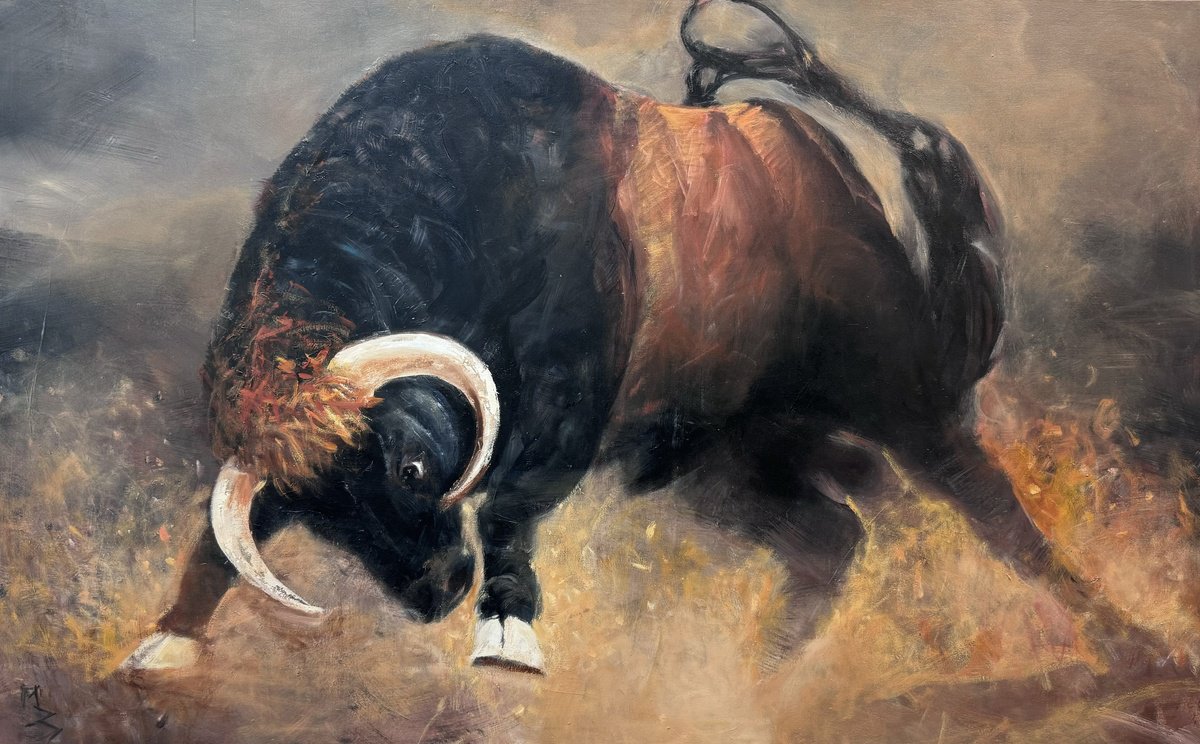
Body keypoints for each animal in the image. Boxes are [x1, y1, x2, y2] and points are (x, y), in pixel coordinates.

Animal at [120, 0, 1048, 675]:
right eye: (320, 518)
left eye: (410, 468)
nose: (437, 594)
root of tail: (816, 158)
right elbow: (216, 545)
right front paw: (166, 642)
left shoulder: (566, 404)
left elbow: (509, 505)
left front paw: (505, 636)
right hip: (728, 457)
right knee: (829, 536)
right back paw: (766, 674)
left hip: (898, 392)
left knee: (995, 512)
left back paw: (1088, 630)